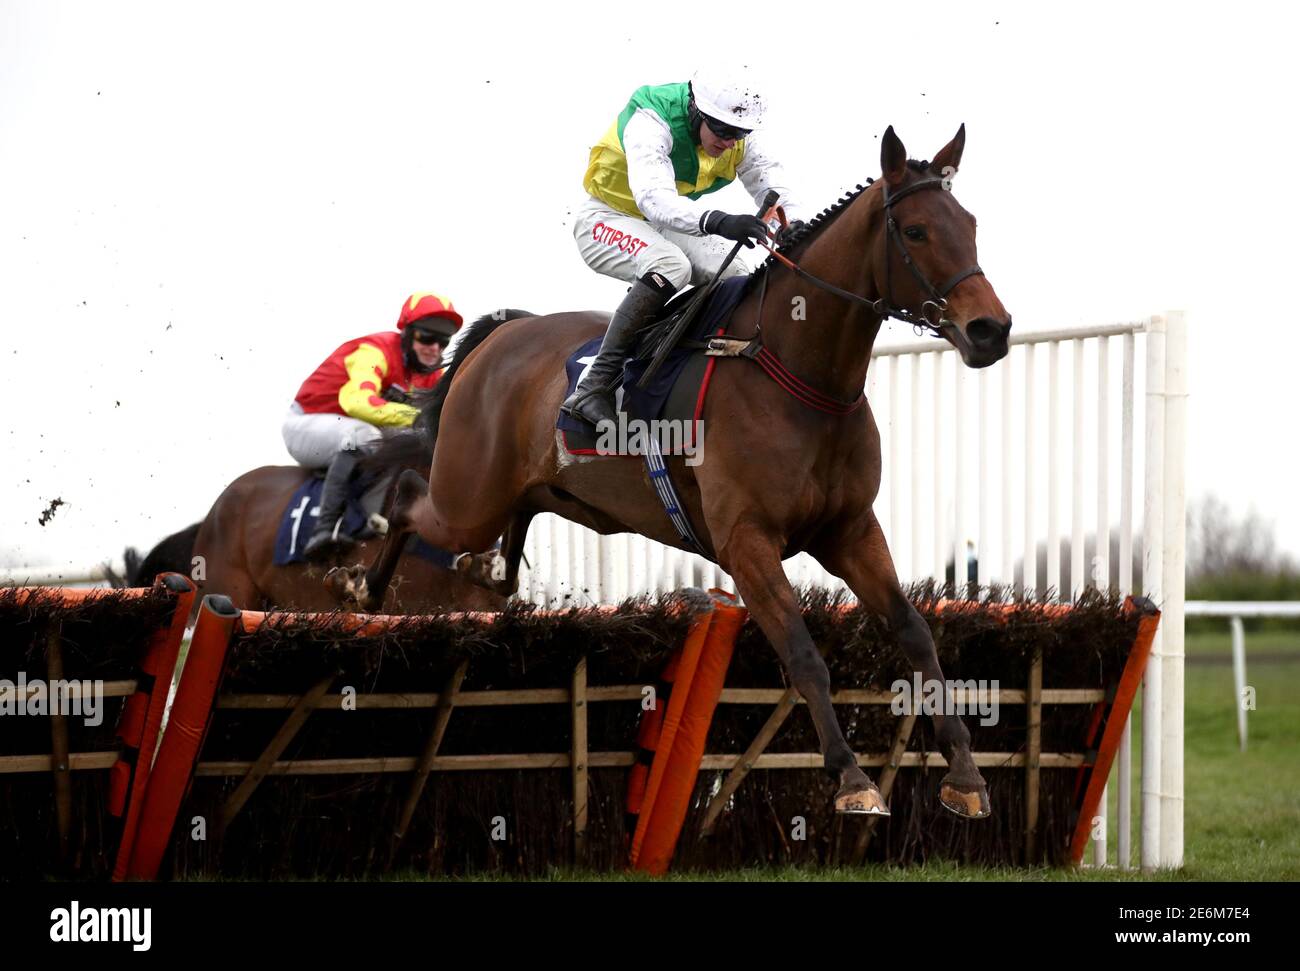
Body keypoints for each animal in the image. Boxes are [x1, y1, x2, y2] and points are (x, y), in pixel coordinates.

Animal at [330, 125, 1008, 816]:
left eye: (970, 223)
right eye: (917, 231)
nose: (991, 330)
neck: (795, 372)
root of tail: (502, 335)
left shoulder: (850, 530)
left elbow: (914, 631)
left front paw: (965, 775)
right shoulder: (746, 542)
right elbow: (802, 652)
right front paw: (851, 778)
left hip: (533, 493)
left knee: (503, 548)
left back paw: (480, 569)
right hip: (469, 497)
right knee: (410, 496)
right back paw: (361, 586)